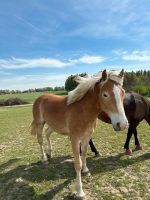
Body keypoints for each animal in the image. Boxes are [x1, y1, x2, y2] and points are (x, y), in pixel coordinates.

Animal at [31, 69, 127, 198]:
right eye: (105, 94)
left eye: (123, 92)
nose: (122, 124)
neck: (83, 110)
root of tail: (40, 98)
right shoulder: (75, 139)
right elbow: (77, 163)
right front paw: (80, 192)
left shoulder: (87, 137)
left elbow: (84, 154)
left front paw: (86, 170)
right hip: (40, 123)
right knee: (40, 139)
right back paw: (44, 159)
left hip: (52, 125)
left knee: (47, 134)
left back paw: (49, 153)